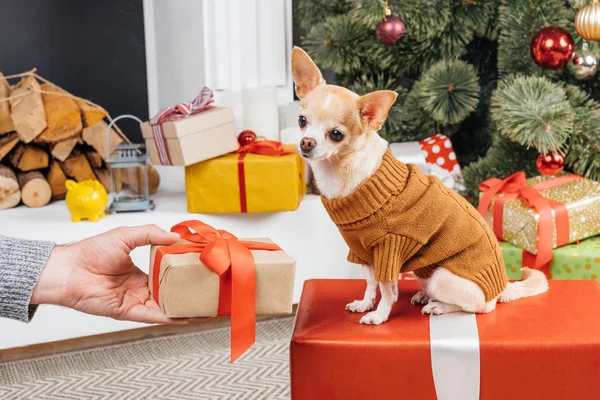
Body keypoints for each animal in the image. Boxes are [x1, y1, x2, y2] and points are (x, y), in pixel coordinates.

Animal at [290, 48, 548, 326]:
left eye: (336, 134)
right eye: (302, 120)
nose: (306, 143)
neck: (343, 174)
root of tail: (502, 287)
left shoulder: (389, 249)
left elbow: (387, 289)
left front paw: (380, 315)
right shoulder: (363, 252)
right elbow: (370, 283)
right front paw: (365, 304)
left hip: (442, 276)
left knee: (479, 307)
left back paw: (439, 306)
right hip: (423, 271)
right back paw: (425, 297)